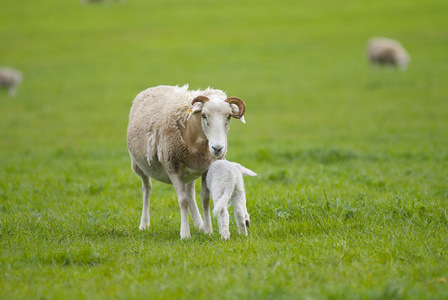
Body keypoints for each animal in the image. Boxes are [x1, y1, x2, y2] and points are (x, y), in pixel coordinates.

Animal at [127, 84, 248, 239]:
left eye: (228, 116)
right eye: (204, 115)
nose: (217, 148)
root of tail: (152, 88)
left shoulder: (205, 169)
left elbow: (205, 198)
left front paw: (208, 230)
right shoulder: (173, 167)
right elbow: (182, 201)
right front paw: (185, 234)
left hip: (191, 172)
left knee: (190, 193)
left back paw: (199, 224)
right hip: (139, 166)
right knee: (146, 189)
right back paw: (144, 224)